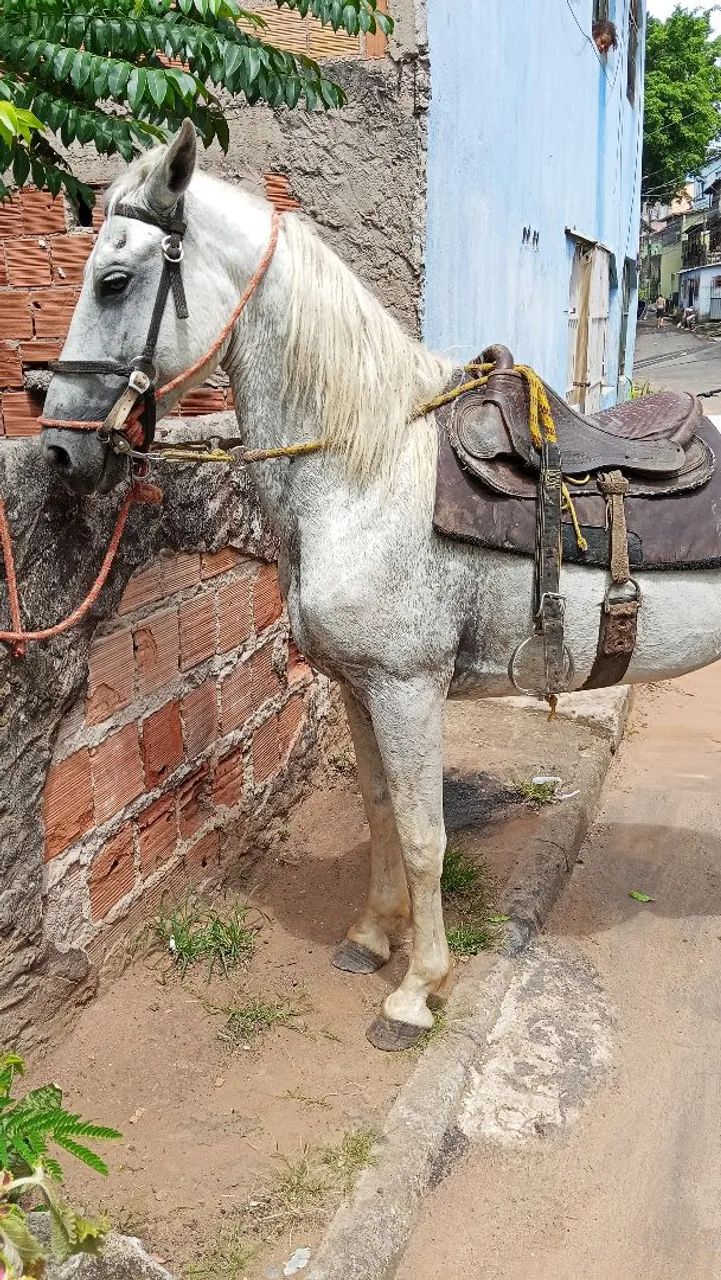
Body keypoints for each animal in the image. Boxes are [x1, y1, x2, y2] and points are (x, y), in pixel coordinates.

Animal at [41, 122, 721, 1050]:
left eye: (113, 280)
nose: (59, 448)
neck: (362, 468)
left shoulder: (407, 688)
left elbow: (425, 834)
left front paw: (416, 991)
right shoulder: (358, 686)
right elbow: (377, 811)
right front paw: (372, 938)